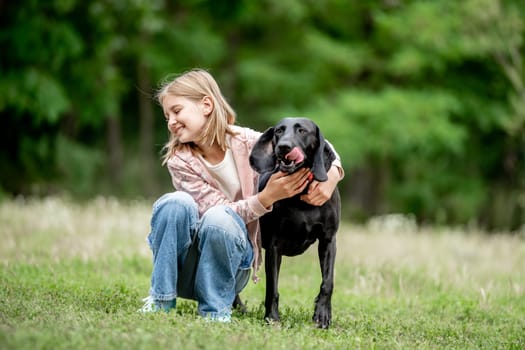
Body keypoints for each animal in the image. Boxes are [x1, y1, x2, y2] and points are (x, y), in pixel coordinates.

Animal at [249, 117, 340, 328]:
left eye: (302, 130)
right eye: (279, 131)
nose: (283, 147)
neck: (301, 195)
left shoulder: (328, 241)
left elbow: (327, 282)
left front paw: (322, 314)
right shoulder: (274, 247)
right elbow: (272, 288)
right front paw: (272, 317)